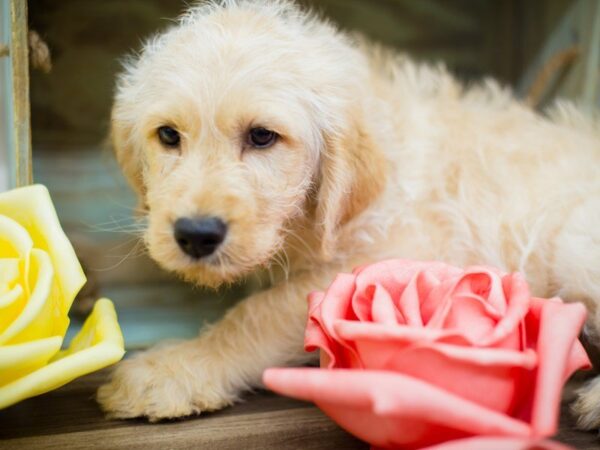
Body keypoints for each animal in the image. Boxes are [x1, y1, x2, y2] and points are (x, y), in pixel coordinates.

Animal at [96, 0, 600, 426]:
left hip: (571, 247)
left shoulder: (408, 255)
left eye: (262, 136)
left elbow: (259, 312)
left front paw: (176, 366)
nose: (196, 234)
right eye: (168, 135)